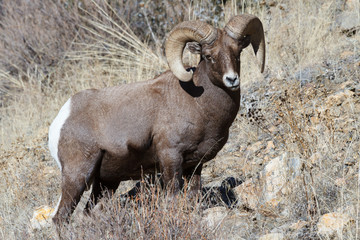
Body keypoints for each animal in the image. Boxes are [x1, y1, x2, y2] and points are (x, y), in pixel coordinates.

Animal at [48, 14, 264, 224]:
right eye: (209, 56)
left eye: (238, 53)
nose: (232, 80)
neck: (198, 104)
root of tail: (61, 119)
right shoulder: (171, 158)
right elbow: (173, 197)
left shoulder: (194, 165)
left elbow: (193, 196)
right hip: (77, 176)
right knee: (60, 218)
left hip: (106, 183)